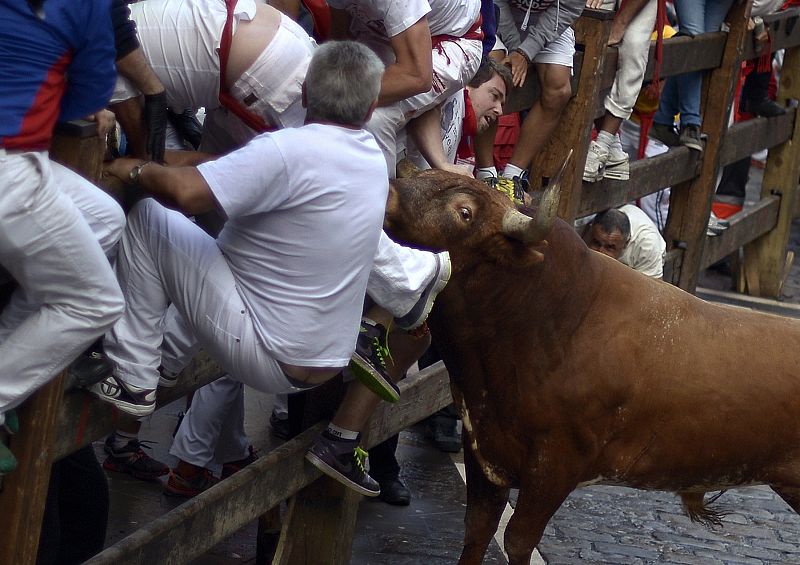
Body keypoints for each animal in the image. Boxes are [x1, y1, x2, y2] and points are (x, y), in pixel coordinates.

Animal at [382, 169, 800, 564]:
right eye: (419, 177)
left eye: (464, 212)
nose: (388, 193)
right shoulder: (483, 450)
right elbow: (476, 531)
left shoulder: (556, 464)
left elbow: (518, 540)